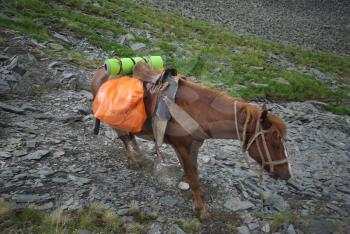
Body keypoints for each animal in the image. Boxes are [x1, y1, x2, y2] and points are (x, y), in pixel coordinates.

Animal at [89, 66, 292, 219]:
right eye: (274, 144)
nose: (287, 175)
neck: (199, 111)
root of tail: (99, 71)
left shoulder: (193, 147)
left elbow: (195, 173)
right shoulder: (182, 148)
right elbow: (193, 179)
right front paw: (201, 211)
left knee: (131, 136)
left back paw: (139, 154)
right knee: (124, 138)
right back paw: (132, 160)